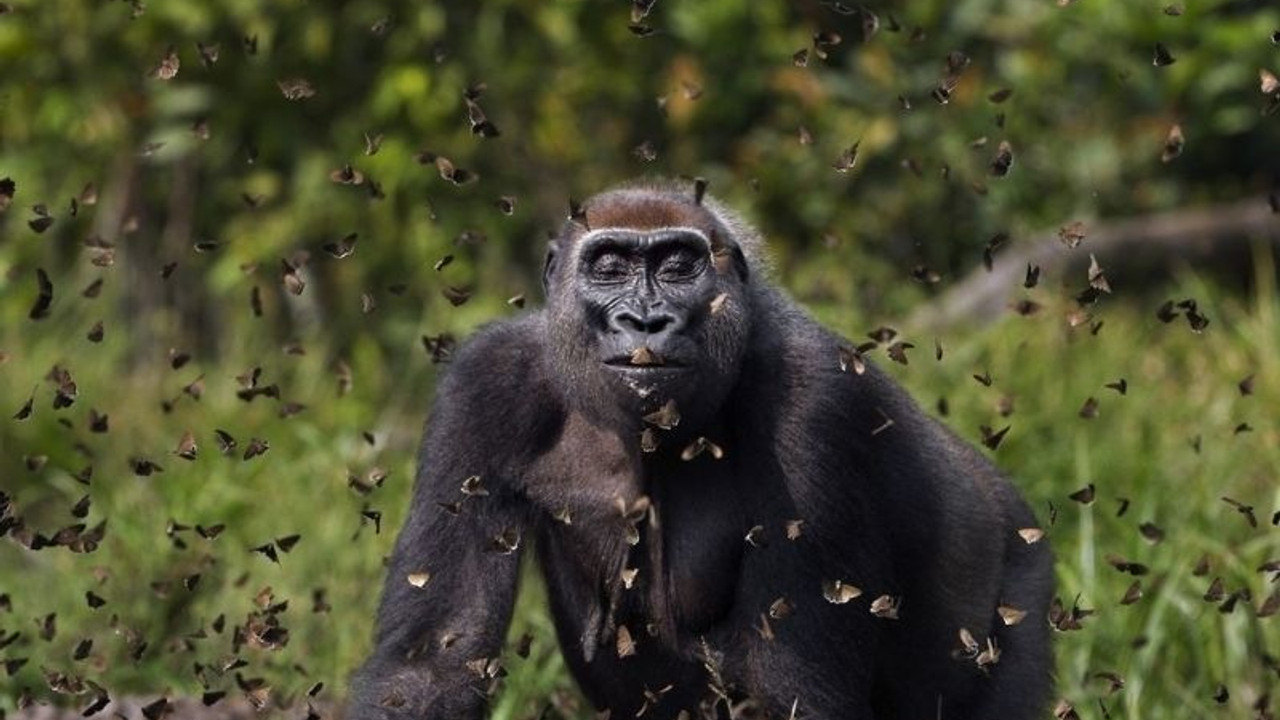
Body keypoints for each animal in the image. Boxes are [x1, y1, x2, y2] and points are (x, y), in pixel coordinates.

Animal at [348, 180, 1049, 717]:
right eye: (609, 267)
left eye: (678, 265)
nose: (645, 320)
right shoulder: (485, 383)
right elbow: (431, 664)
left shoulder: (817, 401)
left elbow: (793, 692)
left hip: (1023, 575)